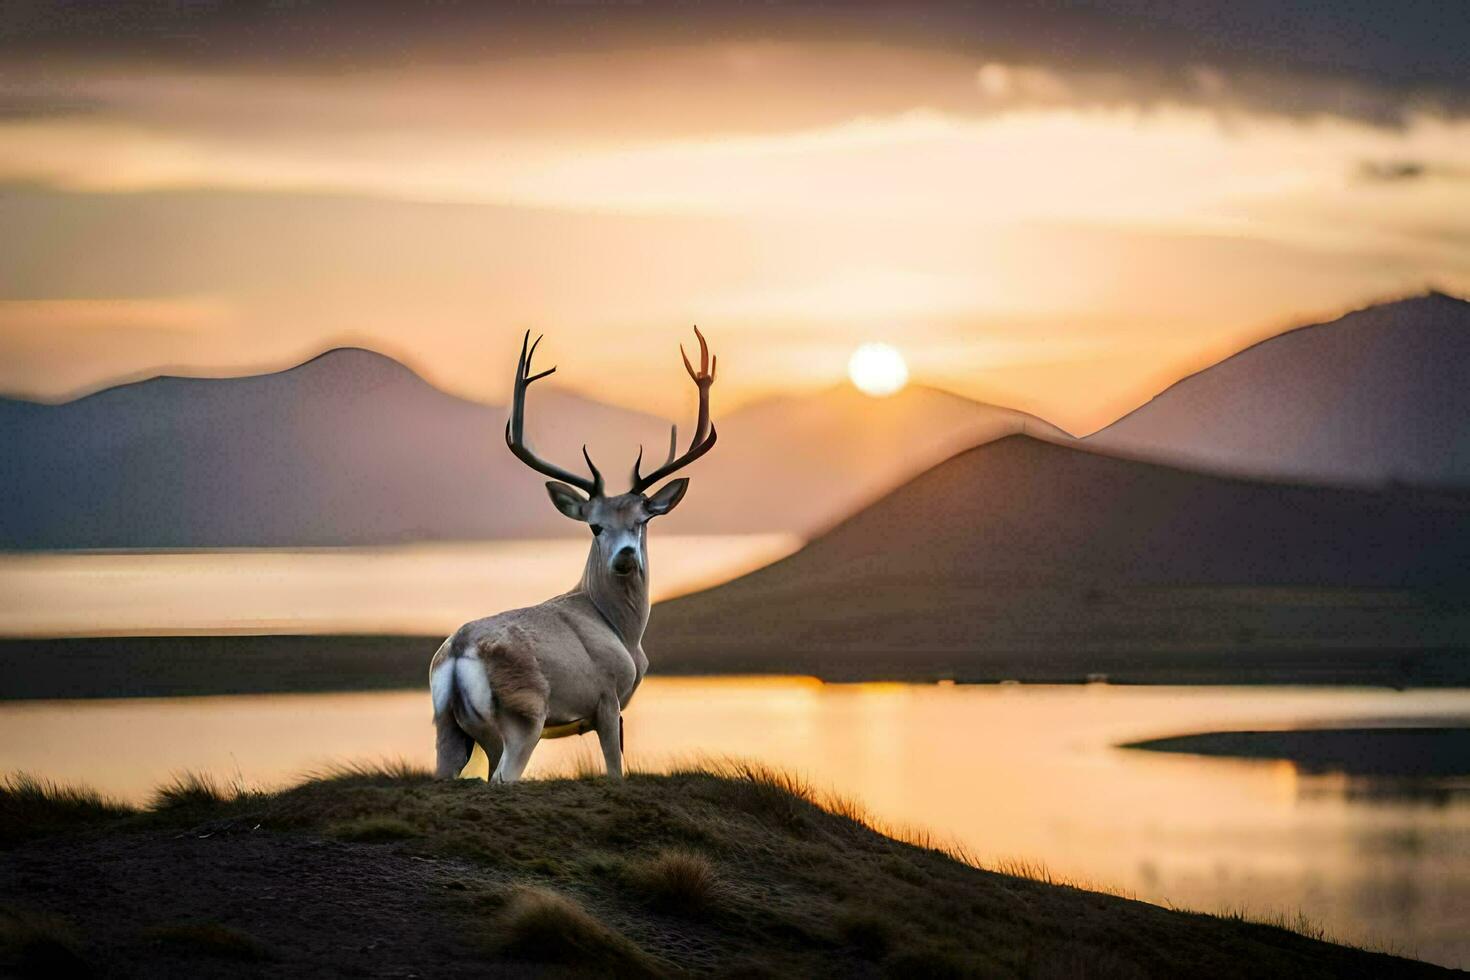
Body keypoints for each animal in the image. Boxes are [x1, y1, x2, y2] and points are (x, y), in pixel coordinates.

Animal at [429, 327, 720, 781]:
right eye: (595, 525)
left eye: (642, 521)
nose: (624, 556)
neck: (624, 633)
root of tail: (459, 656)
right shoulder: (607, 697)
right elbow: (616, 770)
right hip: (524, 715)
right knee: (502, 777)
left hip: (449, 725)